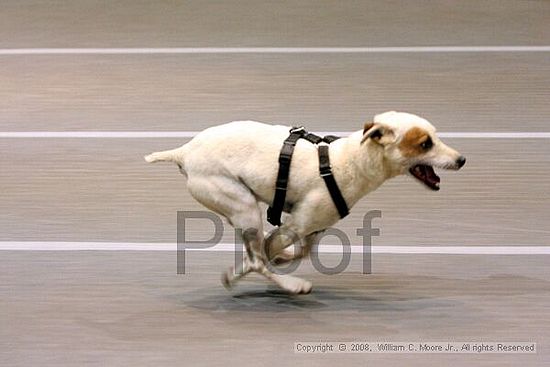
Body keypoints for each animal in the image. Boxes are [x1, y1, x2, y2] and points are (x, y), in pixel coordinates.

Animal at [146, 112, 466, 296]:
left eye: (435, 137)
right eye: (425, 144)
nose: (462, 159)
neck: (347, 162)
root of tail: (184, 152)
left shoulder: (314, 228)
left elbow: (301, 251)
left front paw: (260, 265)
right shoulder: (296, 225)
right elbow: (268, 252)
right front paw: (267, 265)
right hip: (244, 207)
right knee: (257, 260)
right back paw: (293, 285)